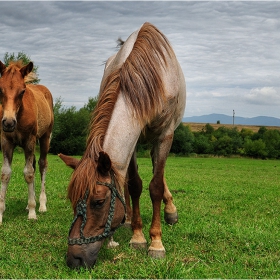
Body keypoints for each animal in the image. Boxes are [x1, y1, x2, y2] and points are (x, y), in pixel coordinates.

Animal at [0, 60, 54, 223]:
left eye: (22, 91)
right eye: (0, 89)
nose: (8, 123)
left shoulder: (30, 140)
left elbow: (29, 173)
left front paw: (32, 212)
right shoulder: (6, 141)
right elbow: (5, 173)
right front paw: (0, 213)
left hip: (44, 138)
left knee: (42, 165)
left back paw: (41, 204)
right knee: (35, 164)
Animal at [63, 22, 186, 270]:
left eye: (99, 202)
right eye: (72, 199)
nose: (74, 259)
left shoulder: (165, 135)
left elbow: (155, 186)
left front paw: (155, 243)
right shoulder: (134, 140)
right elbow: (135, 185)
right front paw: (137, 236)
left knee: (158, 171)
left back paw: (170, 211)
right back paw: (129, 218)